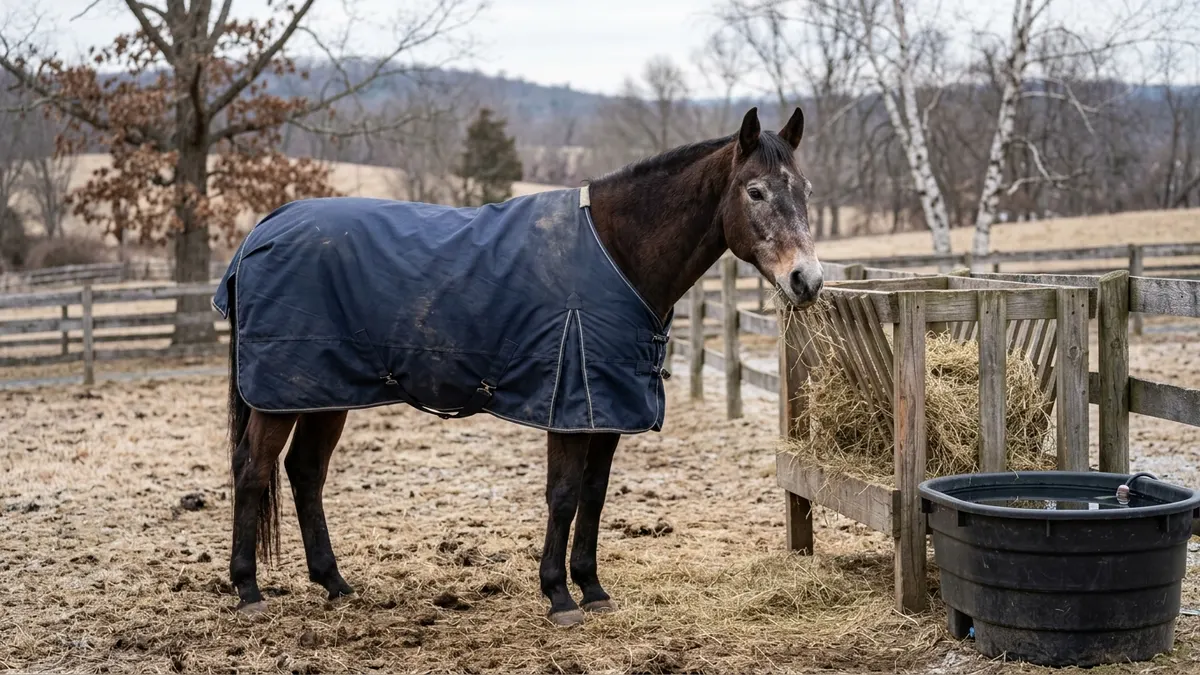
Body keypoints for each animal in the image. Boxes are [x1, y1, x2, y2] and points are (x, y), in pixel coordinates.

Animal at [216, 105, 822, 627]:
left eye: (807, 190)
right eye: (755, 191)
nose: (807, 281)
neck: (617, 252)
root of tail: (260, 233)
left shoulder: (606, 410)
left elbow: (594, 495)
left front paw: (592, 588)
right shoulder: (569, 406)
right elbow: (563, 495)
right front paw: (558, 595)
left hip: (321, 391)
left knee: (304, 472)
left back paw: (335, 583)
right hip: (280, 394)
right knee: (253, 469)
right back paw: (248, 591)